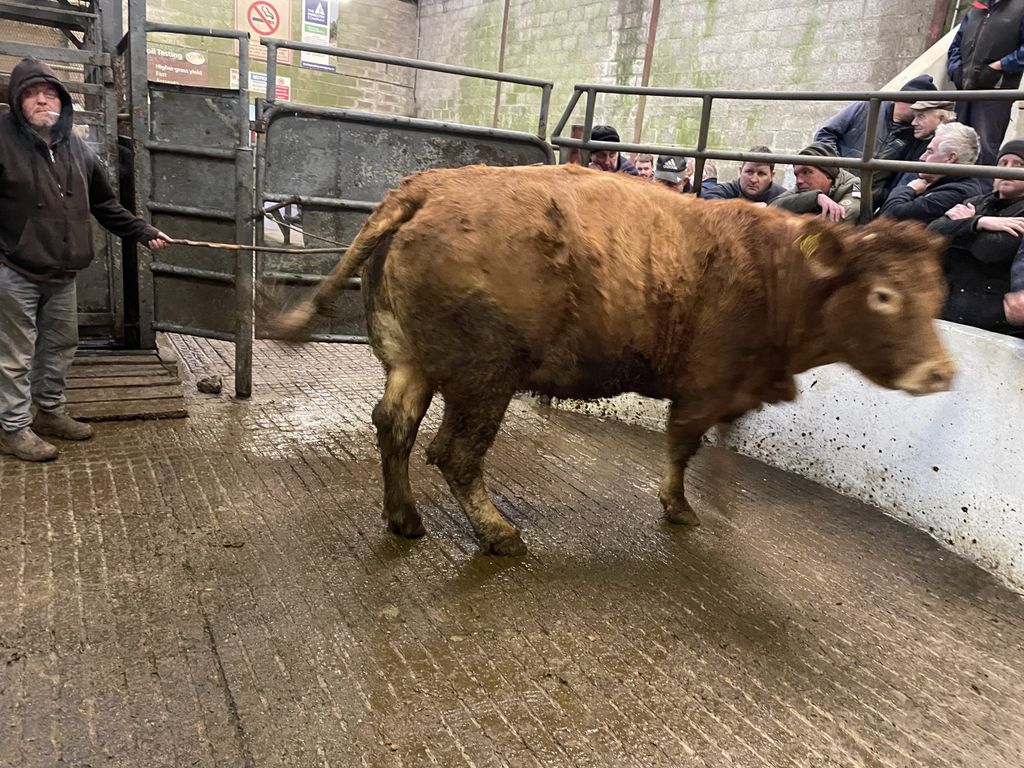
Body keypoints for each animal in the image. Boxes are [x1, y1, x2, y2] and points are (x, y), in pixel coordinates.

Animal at [275, 163, 955, 556]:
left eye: (937, 294)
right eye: (884, 295)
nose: (941, 372)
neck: (776, 271)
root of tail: (426, 188)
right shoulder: (706, 386)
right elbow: (683, 445)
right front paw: (679, 506)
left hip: (408, 360)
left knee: (394, 427)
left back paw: (405, 518)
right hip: (484, 378)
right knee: (456, 453)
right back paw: (498, 533)